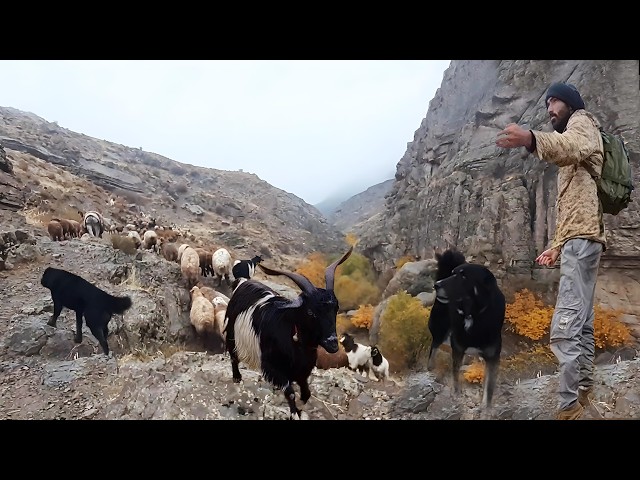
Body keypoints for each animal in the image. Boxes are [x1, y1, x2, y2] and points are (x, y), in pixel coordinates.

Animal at [224, 246, 356, 418]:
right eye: (310, 312)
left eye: (336, 308)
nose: (332, 344)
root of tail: (243, 282)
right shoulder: (273, 368)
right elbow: (291, 392)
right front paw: (294, 412)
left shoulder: (303, 371)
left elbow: (306, 393)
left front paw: (301, 404)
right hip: (231, 332)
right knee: (233, 355)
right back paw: (237, 377)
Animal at [430, 251, 504, 408]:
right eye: (453, 274)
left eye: (464, 276)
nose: (436, 285)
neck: (473, 314)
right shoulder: (457, 348)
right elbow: (455, 376)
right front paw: (456, 395)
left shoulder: (493, 357)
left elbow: (489, 388)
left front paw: (486, 407)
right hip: (440, 330)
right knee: (433, 348)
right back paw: (430, 367)